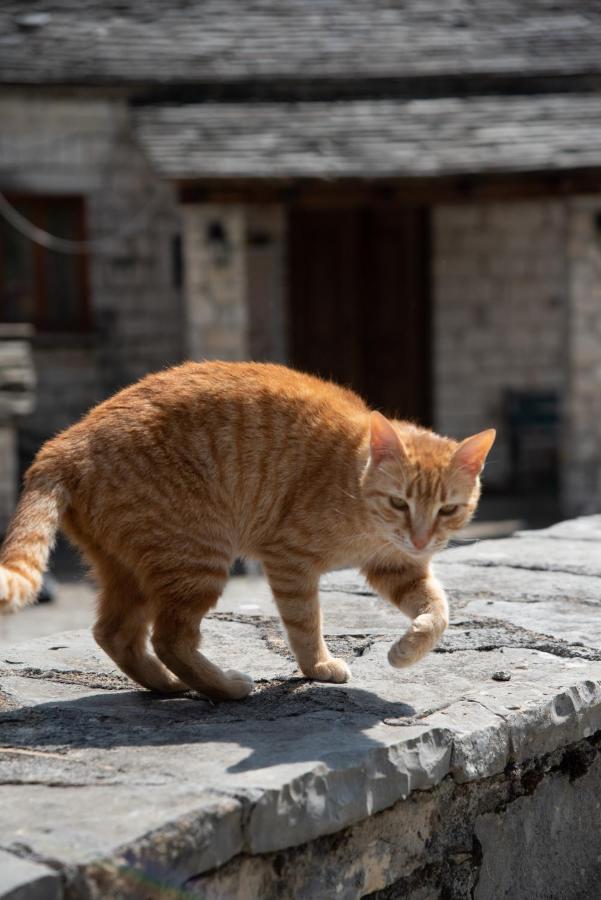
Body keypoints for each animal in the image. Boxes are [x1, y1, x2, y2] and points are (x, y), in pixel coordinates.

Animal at [0, 362, 492, 700]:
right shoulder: (290, 560)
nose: (421, 539)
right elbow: (305, 623)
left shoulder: (399, 567)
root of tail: (64, 442)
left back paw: (167, 685)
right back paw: (226, 688)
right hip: (198, 557)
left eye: (448, 509)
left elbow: (439, 611)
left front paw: (407, 649)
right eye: (399, 503)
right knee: (169, 638)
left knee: (115, 633)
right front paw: (318, 666)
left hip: (131, 571)